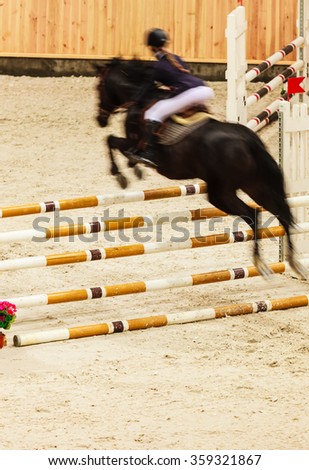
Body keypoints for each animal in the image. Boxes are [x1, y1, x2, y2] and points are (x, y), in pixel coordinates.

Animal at [95, 58, 306, 280]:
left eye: (99, 87)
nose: (99, 119)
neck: (139, 97)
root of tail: (248, 140)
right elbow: (115, 144)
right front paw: (132, 169)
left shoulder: (132, 142)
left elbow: (111, 141)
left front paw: (121, 174)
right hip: (255, 185)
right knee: (281, 214)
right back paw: (294, 264)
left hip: (221, 192)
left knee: (253, 215)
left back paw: (261, 263)